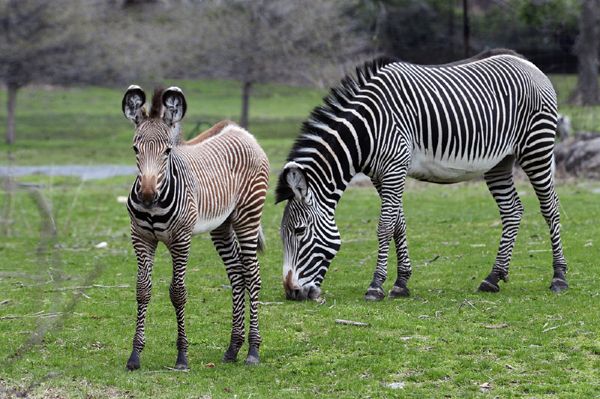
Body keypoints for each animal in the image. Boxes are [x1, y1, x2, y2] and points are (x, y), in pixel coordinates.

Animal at [120, 86, 268, 370]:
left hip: (248, 216)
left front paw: (182, 356)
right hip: (222, 225)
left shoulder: (181, 239)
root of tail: (239, 130)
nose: (146, 195)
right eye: (135, 149)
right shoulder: (141, 238)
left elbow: (178, 293)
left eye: (167, 151)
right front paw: (134, 356)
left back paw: (253, 350)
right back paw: (233, 348)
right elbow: (142, 290)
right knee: (237, 274)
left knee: (252, 275)